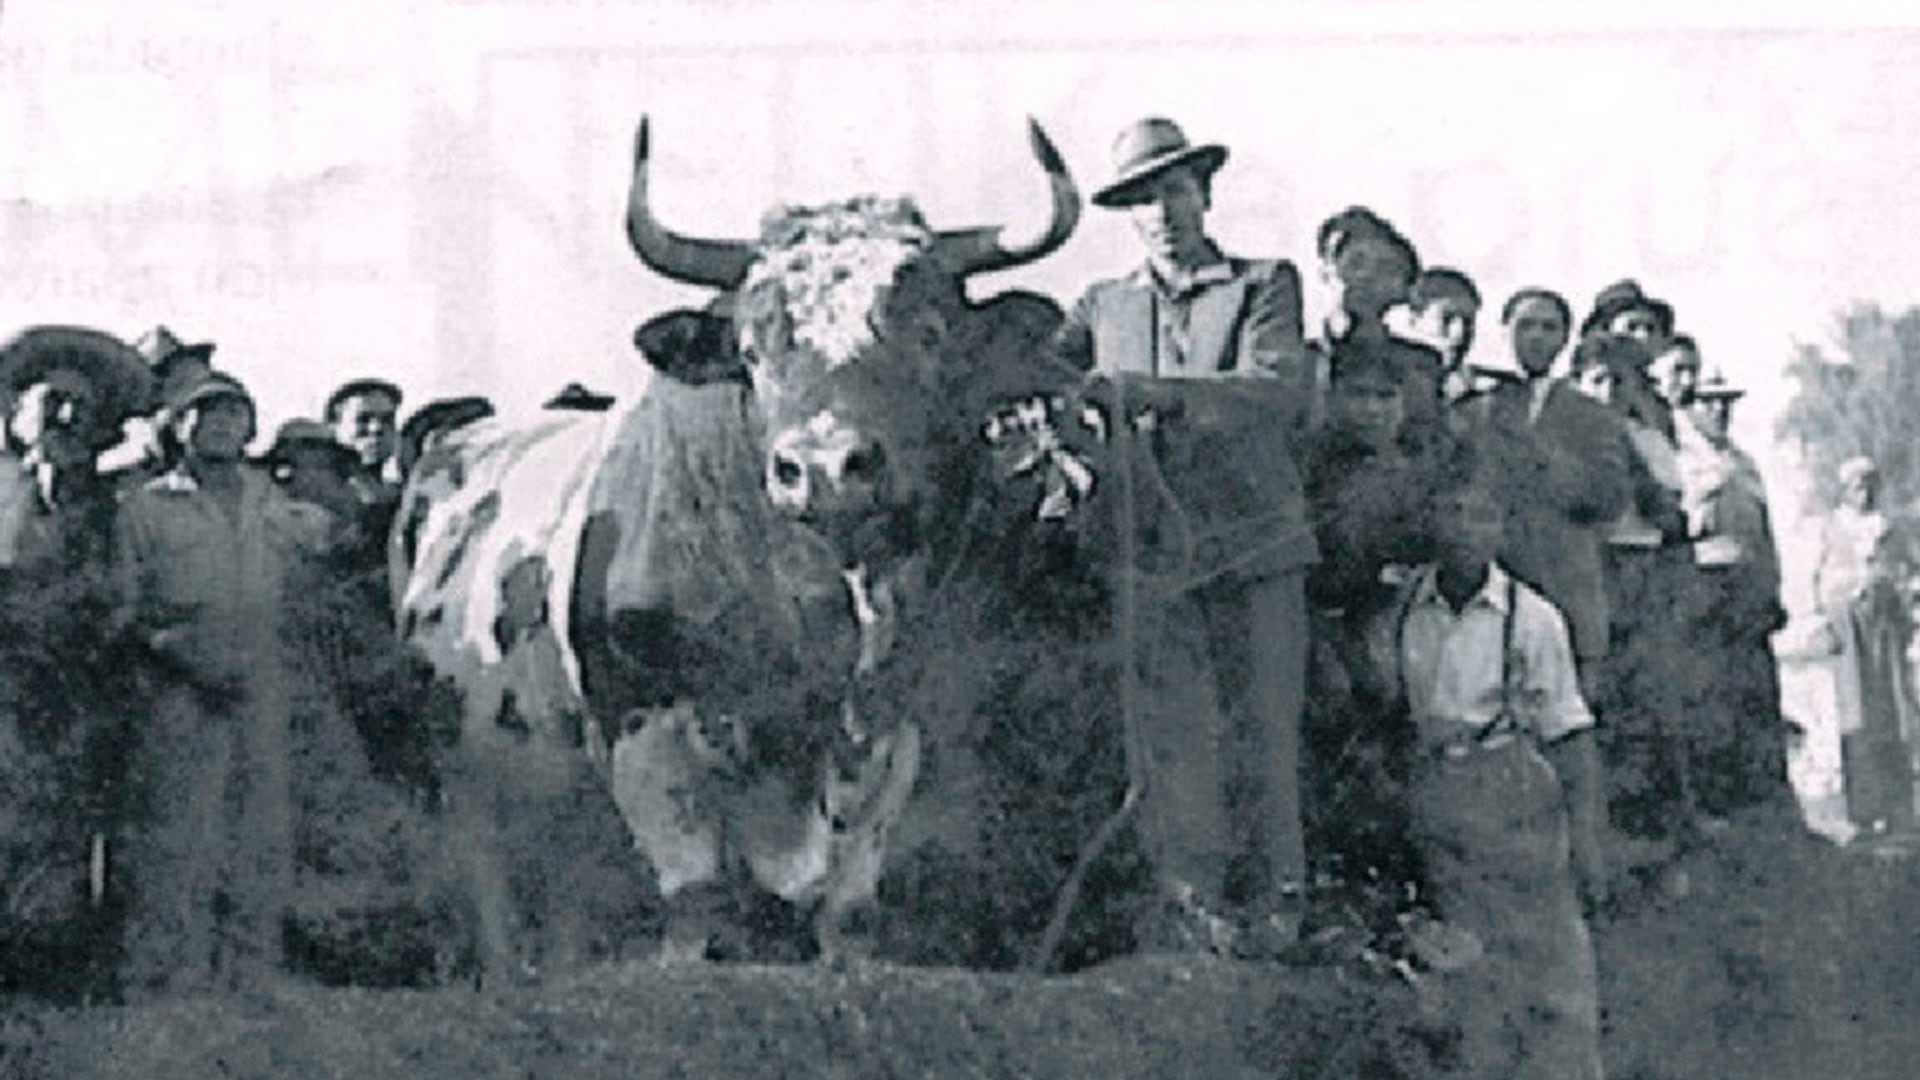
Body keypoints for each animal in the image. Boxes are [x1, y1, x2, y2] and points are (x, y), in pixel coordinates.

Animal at [393, 117, 1082, 976]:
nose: (822, 467)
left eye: (930, 335)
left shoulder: (892, 726)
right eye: (752, 351)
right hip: (467, 778)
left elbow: (850, 903)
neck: (805, 607)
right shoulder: (643, 720)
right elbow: (697, 896)